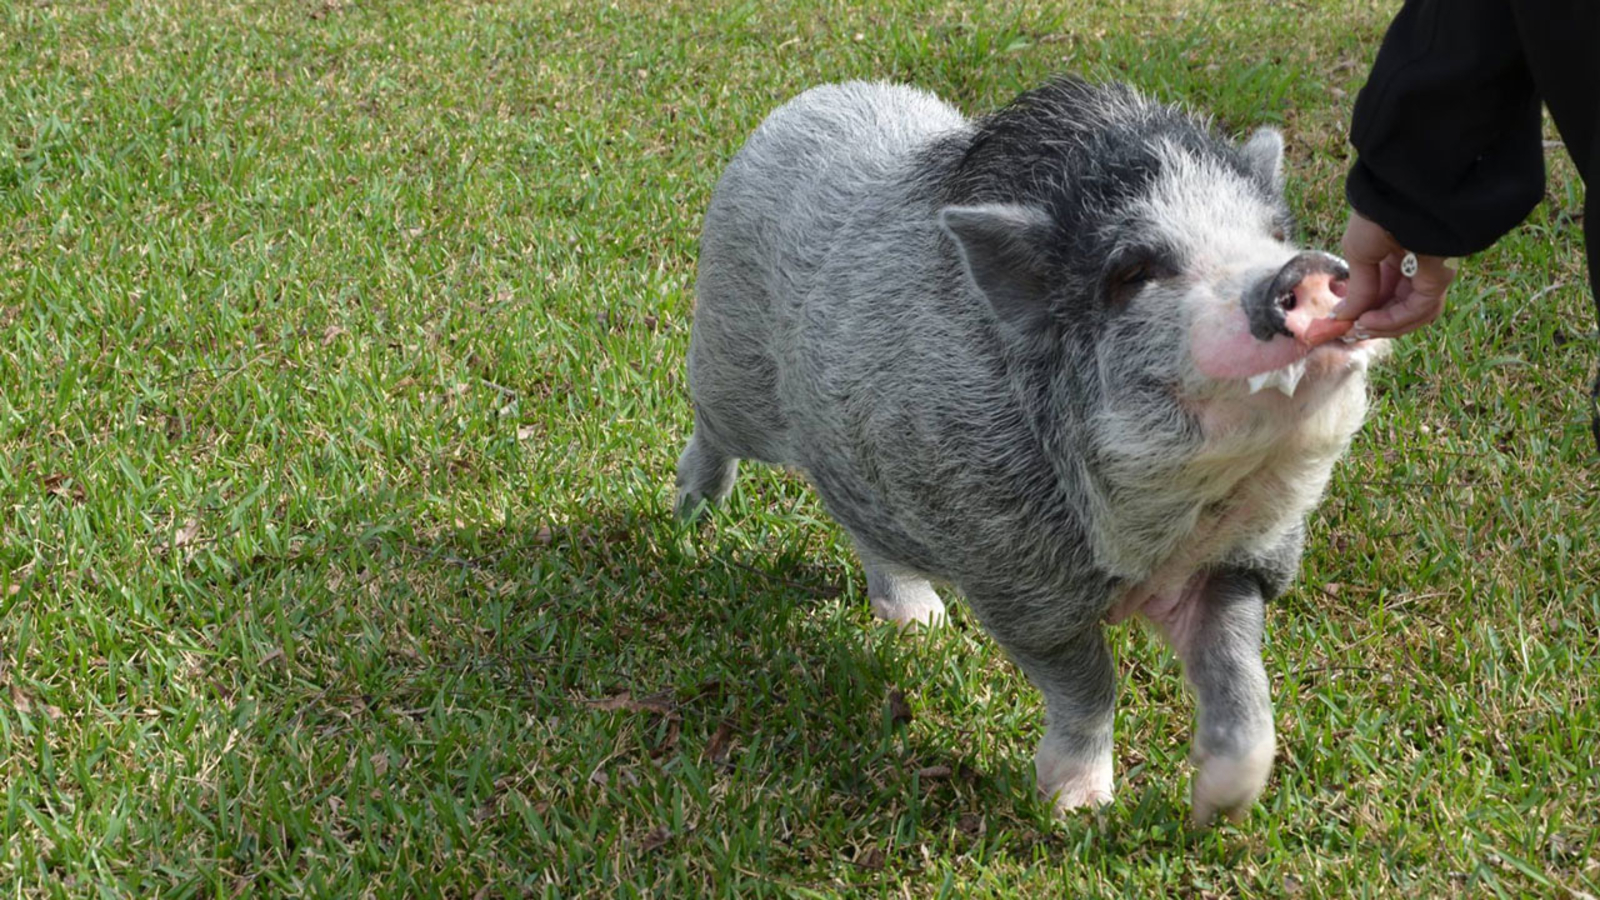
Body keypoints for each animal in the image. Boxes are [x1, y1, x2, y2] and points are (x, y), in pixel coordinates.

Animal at [675, 76, 1385, 824]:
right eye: (1134, 271)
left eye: (1275, 233)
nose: (1305, 269)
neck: (1159, 541)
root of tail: (809, 100)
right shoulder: (1018, 584)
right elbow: (1088, 684)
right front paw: (1078, 810)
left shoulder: (1238, 563)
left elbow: (1240, 676)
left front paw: (1217, 808)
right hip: (732, 357)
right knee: (713, 422)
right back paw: (690, 512)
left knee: (864, 524)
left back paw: (921, 626)